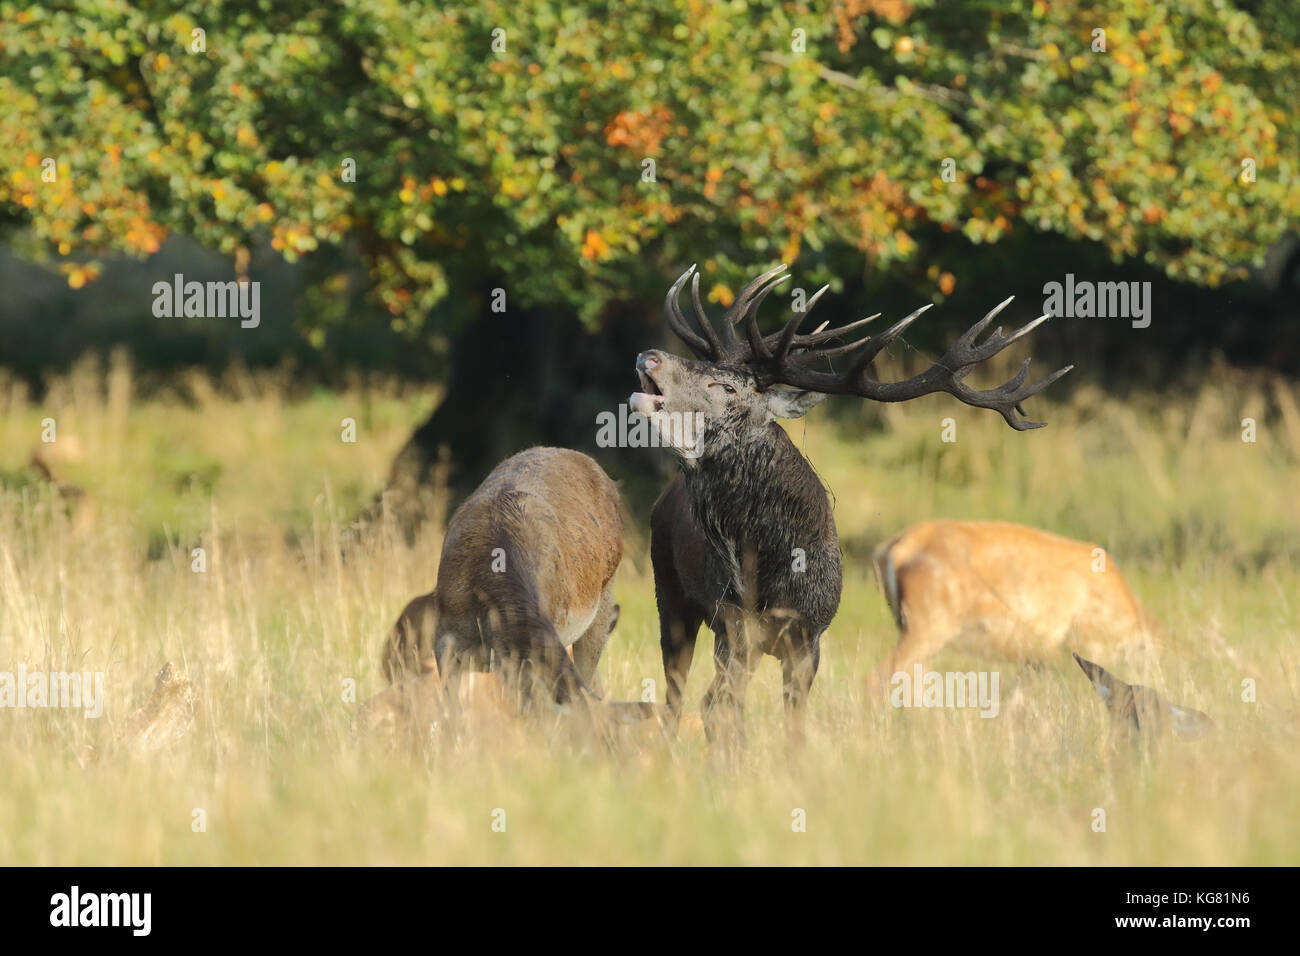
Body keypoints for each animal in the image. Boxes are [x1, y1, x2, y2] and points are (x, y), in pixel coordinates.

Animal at [633, 263, 1071, 743]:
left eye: (726, 385)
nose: (649, 356)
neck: (772, 570)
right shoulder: (732, 622)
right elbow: (722, 708)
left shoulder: (810, 636)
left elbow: (791, 721)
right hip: (669, 592)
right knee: (679, 696)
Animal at [868, 520, 1157, 696]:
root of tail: (891, 551)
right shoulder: (1086, 648)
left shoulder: (1038, 659)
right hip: (928, 628)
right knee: (878, 679)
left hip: (913, 630)